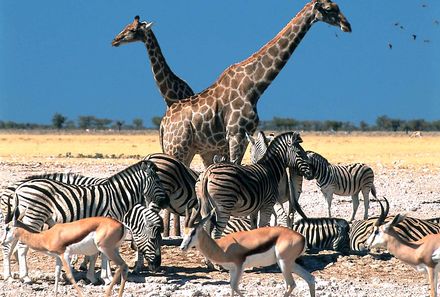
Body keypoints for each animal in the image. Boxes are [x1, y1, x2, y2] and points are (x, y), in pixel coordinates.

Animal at [1, 206, 129, 296]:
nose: (2, 242)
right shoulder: (58, 257)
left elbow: (70, 276)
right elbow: (57, 275)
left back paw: (107, 293)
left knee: (121, 265)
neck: (46, 236)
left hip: (106, 249)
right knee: (124, 266)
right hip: (114, 249)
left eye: (7, 228)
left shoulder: (64, 255)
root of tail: (121, 225)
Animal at [2, 160, 168, 282]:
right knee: (20, 246)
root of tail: (19, 188)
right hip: (34, 216)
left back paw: (11, 275)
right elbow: (103, 253)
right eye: (158, 181)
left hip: (22, 219)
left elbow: (96, 253)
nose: (157, 267)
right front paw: (106, 278)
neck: (117, 197)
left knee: (11, 245)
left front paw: (95, 276)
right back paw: (25, 277)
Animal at [161, 0, 350, 166]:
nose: (347, 25)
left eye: (338, 6)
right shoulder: (235, 134)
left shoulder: (245, 136)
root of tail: (163, 123)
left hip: (193, 150)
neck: (254, 87)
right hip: (177, 148)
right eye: (329, 9)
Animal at [180, 206, 314, 296]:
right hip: (291, 263)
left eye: (193, 232)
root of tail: (302, 237)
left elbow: (235, 287)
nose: (182, 247)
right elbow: (231, 287)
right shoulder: (232, 269)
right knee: (310, 279)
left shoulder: (240, 266)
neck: (221, 247)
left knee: (291, 284)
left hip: (283, 263)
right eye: (184, 231)